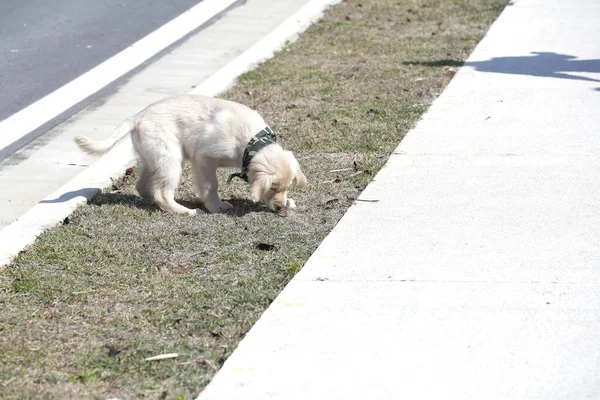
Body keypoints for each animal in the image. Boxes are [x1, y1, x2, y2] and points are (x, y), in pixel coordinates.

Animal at [75, 96, 308, 216]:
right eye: (273, 188)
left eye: (285, 188)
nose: (279, 207)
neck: (250, 142)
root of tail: (137, 117)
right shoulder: (203, 159)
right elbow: (211, 186)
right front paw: (216, 206)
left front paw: (289, 201)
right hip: (171, 160)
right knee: (161, 192)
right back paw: (184, 211)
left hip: (155, 159)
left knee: (143, 186)